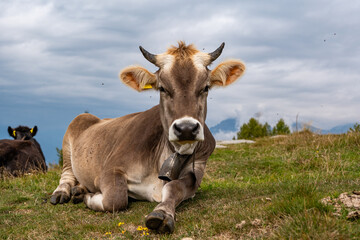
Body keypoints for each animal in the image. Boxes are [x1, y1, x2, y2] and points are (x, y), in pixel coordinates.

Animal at [50, 42, 245, 233]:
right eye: (162, 88)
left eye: (205, 87)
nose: (186, 129)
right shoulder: (109, 169)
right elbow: (115, 198)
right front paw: (88, 197)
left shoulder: (197, 170)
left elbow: (174, 187)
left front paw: (162, 212)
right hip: (73, 132)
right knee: (67, 174)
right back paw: (63, 193)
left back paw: (79, 189)